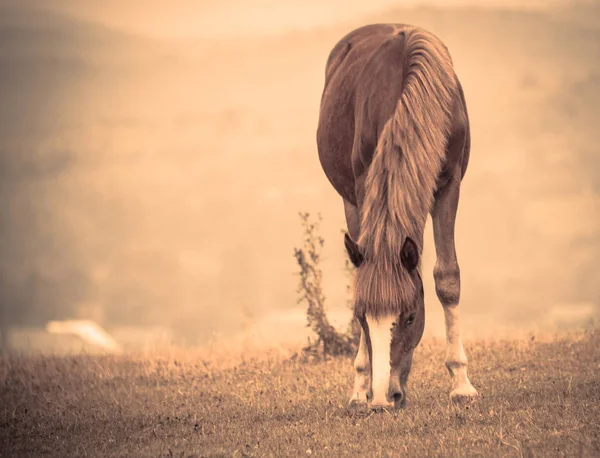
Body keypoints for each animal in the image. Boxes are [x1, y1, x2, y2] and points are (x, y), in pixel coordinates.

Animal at [314, 23, 478, 410]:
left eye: (410, 316)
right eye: (362, 316)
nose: (382, 398)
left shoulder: (449, 183)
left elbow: (447, 278)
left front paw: (461, 383)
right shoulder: (364, 186)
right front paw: (364, 384)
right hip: (350, 199)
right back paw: (359, 385)